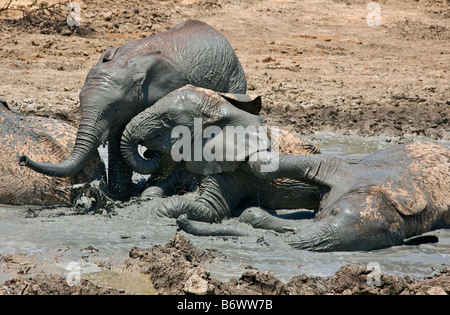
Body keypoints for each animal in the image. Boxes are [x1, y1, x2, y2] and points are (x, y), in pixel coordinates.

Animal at [18, 19, 246, 201]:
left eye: (116, 109)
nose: (22, 159)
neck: (127, 61)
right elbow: (117, 144)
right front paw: (120, 196)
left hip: (235, 80)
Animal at [120, 84, 320, 225]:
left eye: (167, 120)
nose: (148, 152)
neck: (221, 110)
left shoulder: (233, 169)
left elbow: (212, 209)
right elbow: (157, 188)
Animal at [179, 142, 450, 253]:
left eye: (385, 241)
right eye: (334, 212)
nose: (182, 219)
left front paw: (251, 214)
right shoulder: (353, 172)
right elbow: (318, 163)